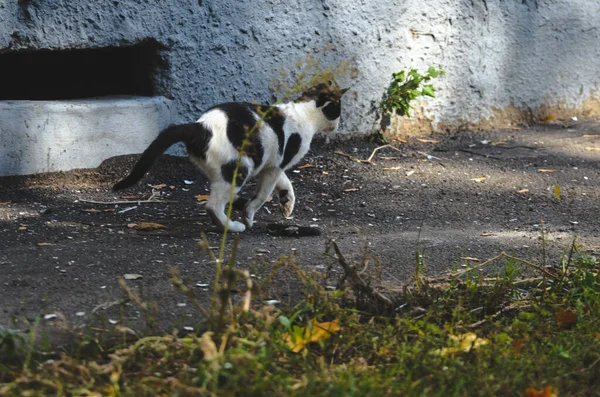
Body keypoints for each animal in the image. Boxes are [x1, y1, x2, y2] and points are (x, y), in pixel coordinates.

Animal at [113, 83, 346, 232]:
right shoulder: (275, 165)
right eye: (338, 110)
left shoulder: (271, 162)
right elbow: (263, 194)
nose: (338, 125)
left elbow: (284, 182)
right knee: (212, 205)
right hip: (239, 167)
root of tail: (200, 127)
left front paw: (287, 202)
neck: (304, 112)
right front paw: (249, 215)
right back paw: (232, 226)